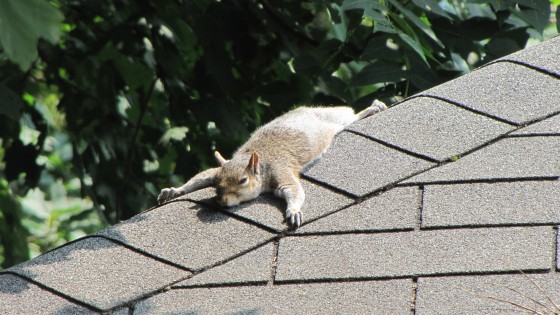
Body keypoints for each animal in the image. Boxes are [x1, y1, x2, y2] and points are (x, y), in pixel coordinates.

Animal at [155, 100, 388, 230]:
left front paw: (293, 211)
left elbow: (293, 190)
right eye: (217, 185)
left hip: (335, 118)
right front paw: (173, 190)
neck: (258, 162)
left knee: (350, 115)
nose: (221, 201)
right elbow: (199, 178)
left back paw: (373, 108)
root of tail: (308, 109)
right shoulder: (216, 170)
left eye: (243, 180)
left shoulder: (280, 169)